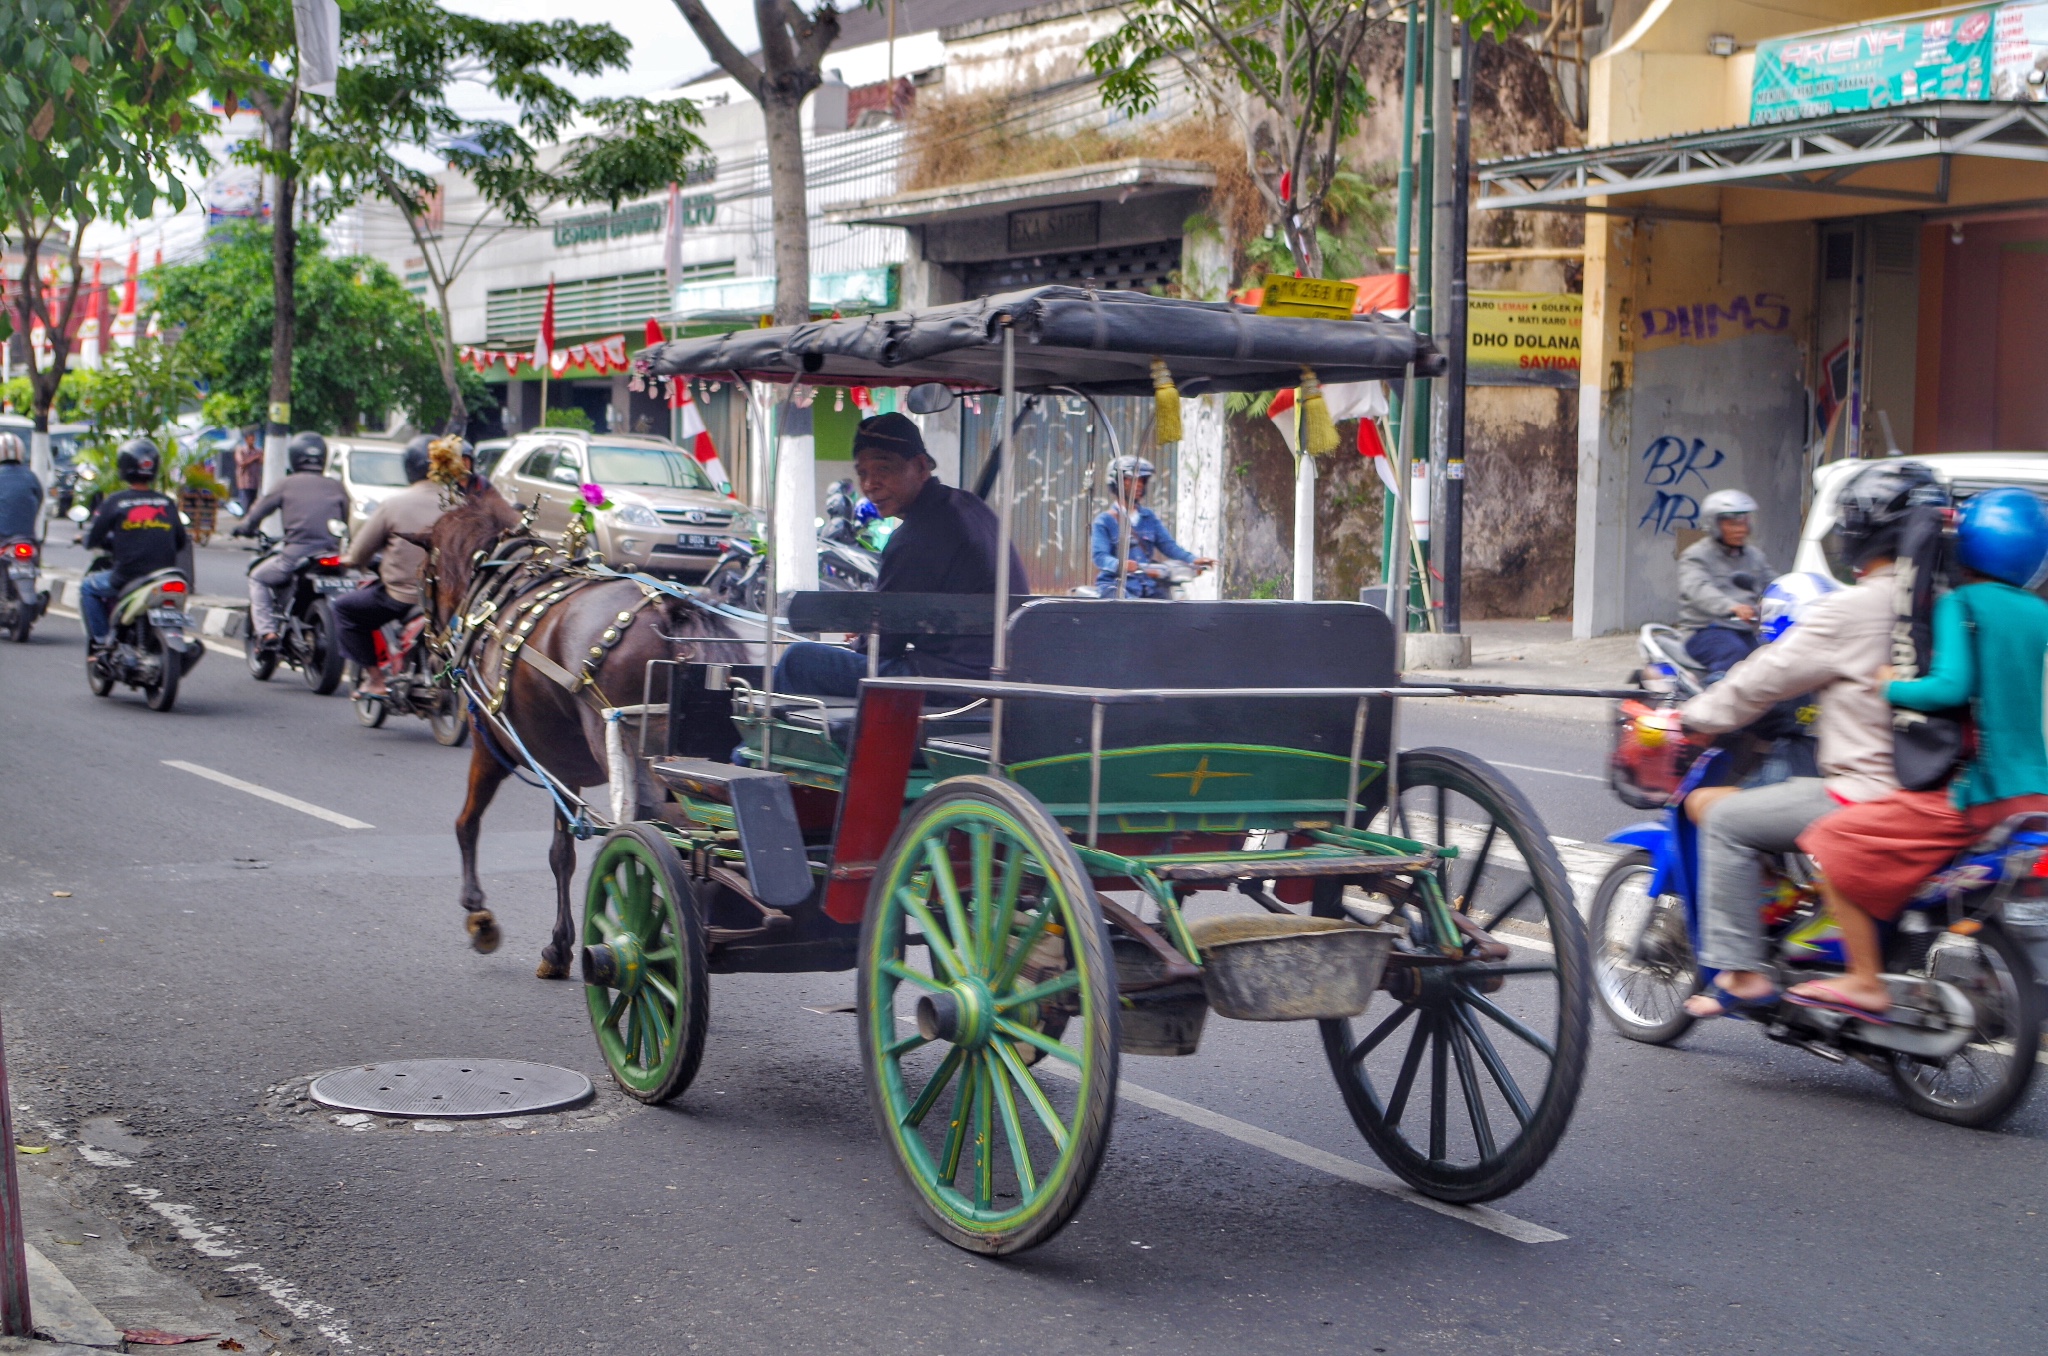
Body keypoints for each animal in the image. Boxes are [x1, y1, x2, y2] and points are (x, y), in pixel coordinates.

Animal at [419, 483, 757, 983]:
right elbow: (562, 853)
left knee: (659, 834)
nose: (430, 646)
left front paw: (479, 915)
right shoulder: (564, 766)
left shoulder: (491, 741)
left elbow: (467, 822)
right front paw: (558, 947)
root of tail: (673, 612)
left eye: (426, 574)